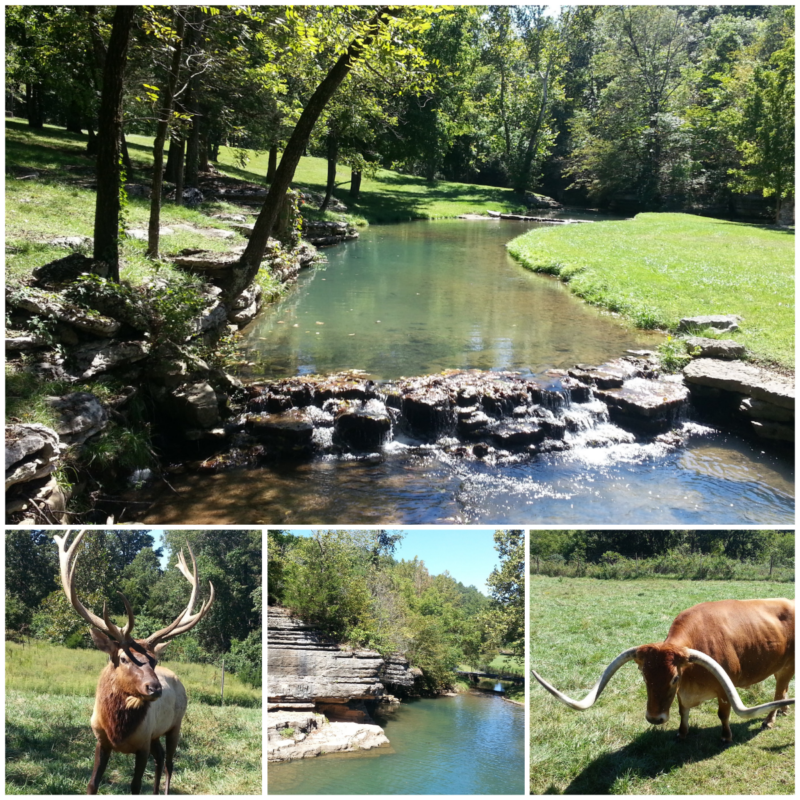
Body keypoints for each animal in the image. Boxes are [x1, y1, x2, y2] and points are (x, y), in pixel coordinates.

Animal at [55, 532, 216, 792]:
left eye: (154, 660)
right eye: (123, 658)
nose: (155, 688)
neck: (119, 731)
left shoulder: (142, 744)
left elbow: (135, 785)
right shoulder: (102, 741)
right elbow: (92, 783)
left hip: (175, 726)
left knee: (169, 763)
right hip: (156, 735)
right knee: (160, 758)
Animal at [532, 596, 792, 740]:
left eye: (674, 678)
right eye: (644, 677)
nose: (654, 719)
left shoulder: (724, 691)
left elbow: (723, 714)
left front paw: (726, 737)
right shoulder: (683, 695)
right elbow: (683, 711)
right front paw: (681, 733)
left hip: (786, 666)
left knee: (779, 692)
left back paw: (770, 719)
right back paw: (784, 710)